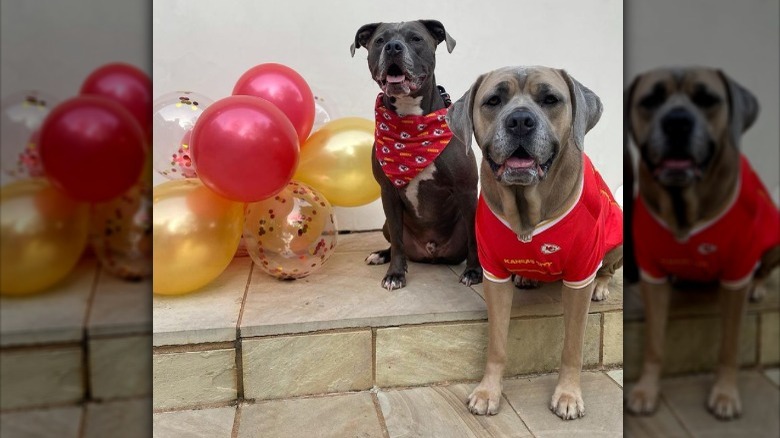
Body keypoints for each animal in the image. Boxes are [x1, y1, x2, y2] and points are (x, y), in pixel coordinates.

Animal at [352, 19, 482, 290]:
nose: (393, 47)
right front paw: (395, 274)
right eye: (379, 41)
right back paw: (380, 255)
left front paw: (474, 272)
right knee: (395, 241)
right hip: (386, 224)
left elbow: (475, 239)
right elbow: (398, 242)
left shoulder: (466, 188)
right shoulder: (388, 192)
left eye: (416, 38)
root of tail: (430, 251)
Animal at [448, 66, 624, 420]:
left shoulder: (579, 276)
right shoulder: (494, 276)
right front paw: (488, 391)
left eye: (550, 99)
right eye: (494, 100)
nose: (520, 121)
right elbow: (497, 343)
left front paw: (568, 395)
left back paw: (601, 286)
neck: (526, 209)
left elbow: (572, 345)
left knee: (607, 268)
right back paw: (528, 277)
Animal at [628, 66, 780, 420]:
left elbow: (729, 344)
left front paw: (725, 393)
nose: (677, 122)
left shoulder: (736, 276)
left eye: (707, 99)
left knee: (763, 269)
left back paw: (758, 286)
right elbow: (654, 342)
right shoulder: (652, 275)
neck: (684, 208)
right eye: (651, 100)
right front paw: (646, 389)